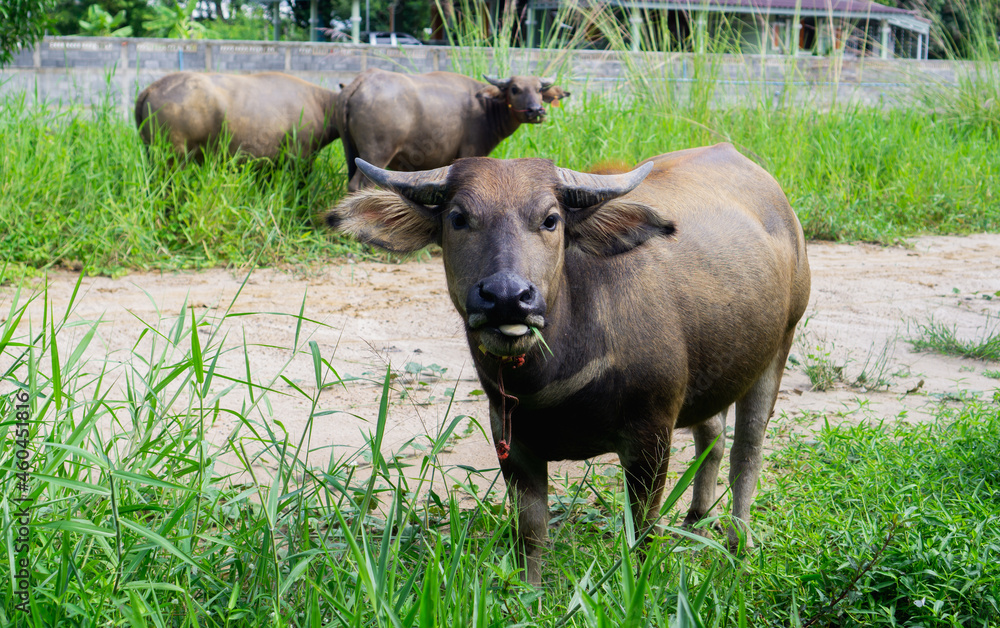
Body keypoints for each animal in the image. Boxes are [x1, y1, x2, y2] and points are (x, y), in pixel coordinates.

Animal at [328, 145, 812, 588]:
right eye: (459, 218)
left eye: (550, 219)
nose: (507, 296)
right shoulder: (511, 437)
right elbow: (531, 531)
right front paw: (529, 592)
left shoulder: (651, 433)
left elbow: (641, 528)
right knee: (711, 433)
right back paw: (696, 518)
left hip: (779, 346)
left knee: (746, 449)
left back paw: (737, 542)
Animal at [336, 69, 572, 191]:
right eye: (515, 89)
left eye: (539, 89)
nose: (536, 110)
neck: (486, 107)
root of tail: (362, 80)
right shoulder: (470, 152)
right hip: (376, 154)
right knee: (358, 185)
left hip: (350, 150)